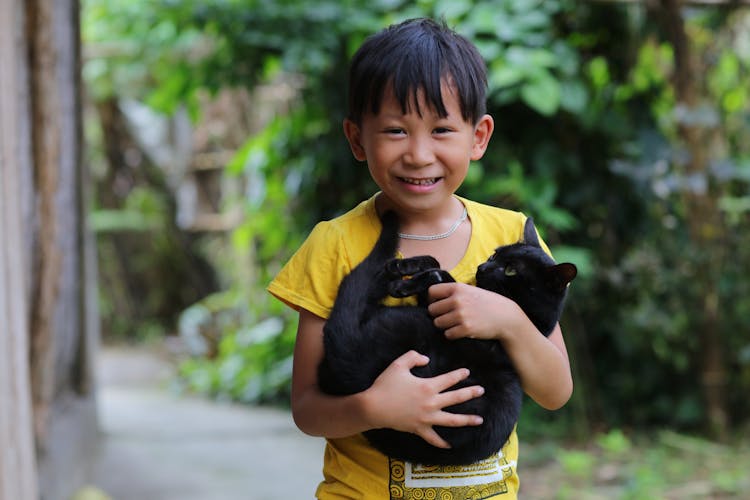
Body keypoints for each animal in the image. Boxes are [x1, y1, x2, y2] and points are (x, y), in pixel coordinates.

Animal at [316, 211, 576, 464]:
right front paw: (408, 266)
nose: (482, 267)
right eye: (494, 255)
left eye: (511, 269)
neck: (531, 319)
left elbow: (439, 276)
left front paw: (402, 283)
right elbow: (437, 265)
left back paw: (389, 276)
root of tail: (353, 370)